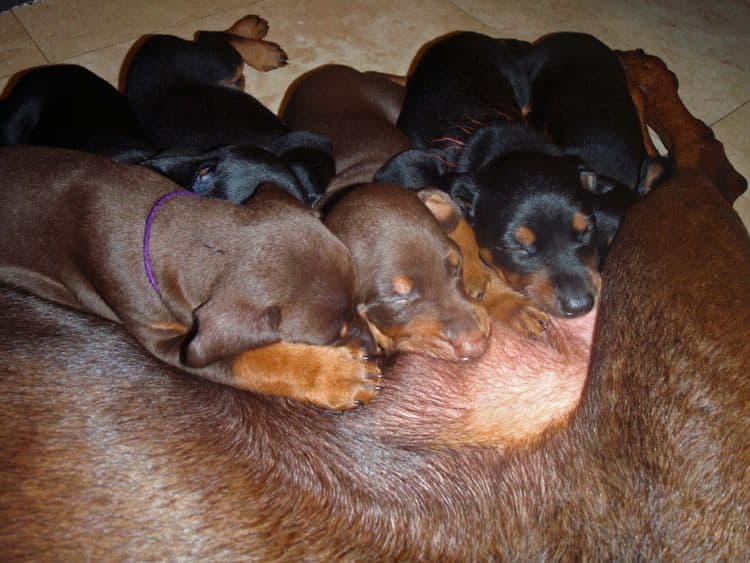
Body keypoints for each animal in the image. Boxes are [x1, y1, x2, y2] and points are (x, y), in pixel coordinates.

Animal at [125, 14, 334, 205]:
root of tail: (145, 45)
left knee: (211, 36)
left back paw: (258, 36)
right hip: (218, 63)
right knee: (213, 37)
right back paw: (262, 47)